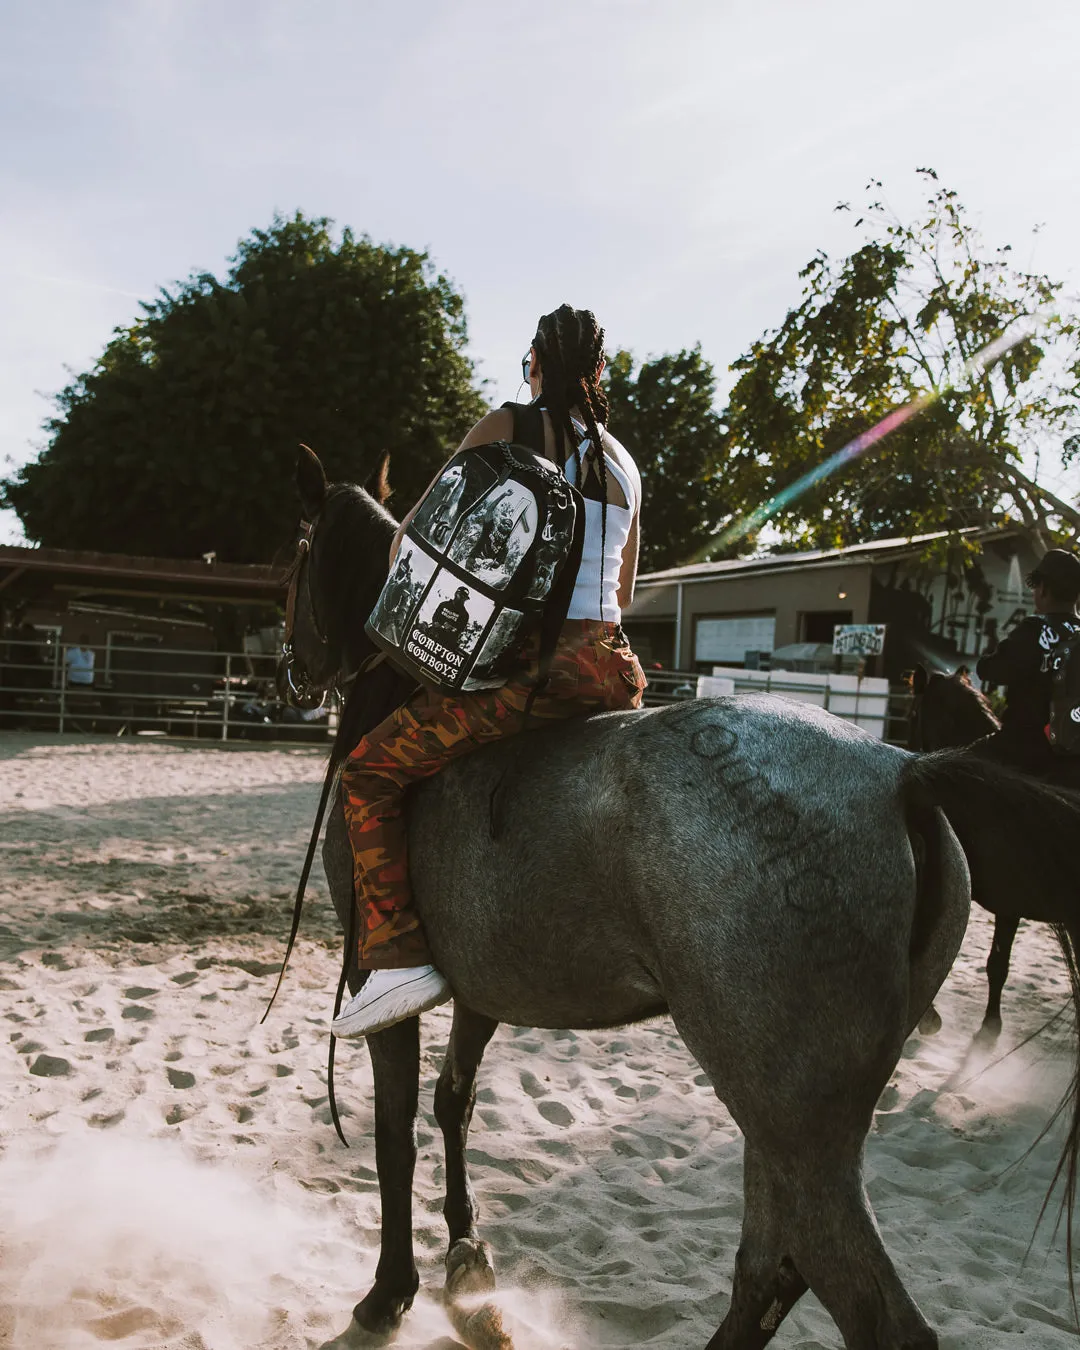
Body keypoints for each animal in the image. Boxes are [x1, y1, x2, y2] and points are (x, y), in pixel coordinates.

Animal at [282, 450, 1080, 1350]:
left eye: (299, 553)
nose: (292, 669)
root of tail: (901, 772)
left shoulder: (380, 981)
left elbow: (393, 1135)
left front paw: (391, 1290)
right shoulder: (482, 986)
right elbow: (455, 1104)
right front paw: (466, 1257)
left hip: (791, 1120)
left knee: (854, 1299)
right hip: (785, 1123)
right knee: (771, 1269)